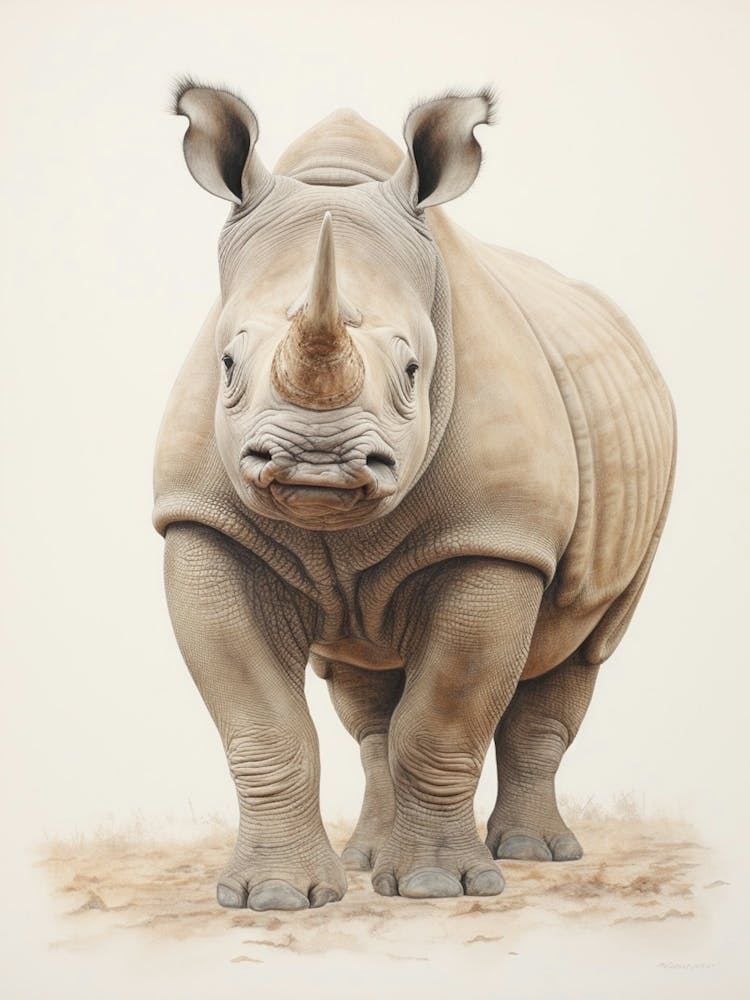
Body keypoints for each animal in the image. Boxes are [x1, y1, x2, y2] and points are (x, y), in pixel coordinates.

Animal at [154, 80, 675, 912]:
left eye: (410, 371)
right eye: (227, 362)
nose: (316, 463)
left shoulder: (497, 538)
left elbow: (443, 719)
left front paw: (440, 887)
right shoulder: (205, 524)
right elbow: (263, 725)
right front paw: (275, 898)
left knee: (584, 644)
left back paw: (535, 855)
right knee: (365, 694)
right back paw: (367, 859)